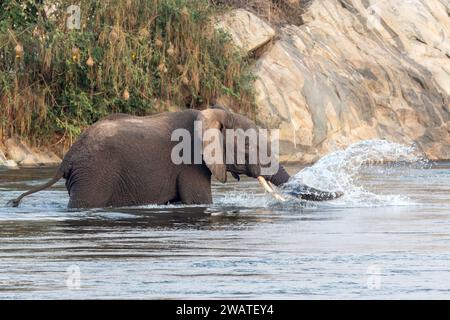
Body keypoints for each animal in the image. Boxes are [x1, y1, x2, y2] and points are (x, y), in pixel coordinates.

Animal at [9, 106, 342, 209]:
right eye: (249, 149)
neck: (213, 113)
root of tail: (66, 159)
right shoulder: (190, 163)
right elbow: (199, 201)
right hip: (94, 174)